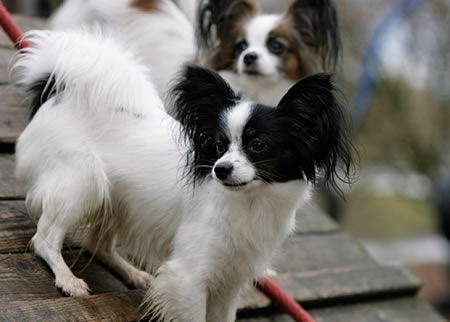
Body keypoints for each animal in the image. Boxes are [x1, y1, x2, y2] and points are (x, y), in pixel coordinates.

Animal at [13, 28, 352, 320]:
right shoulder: (189, 277)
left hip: (120, 200)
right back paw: (68, 279)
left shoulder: (229, 282)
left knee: (97, 244)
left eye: (258, 145)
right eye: (218, 145)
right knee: (44, 239)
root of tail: (57, 92)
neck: (251, 202)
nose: (220, 169)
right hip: (84, 184)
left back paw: (132, 273)